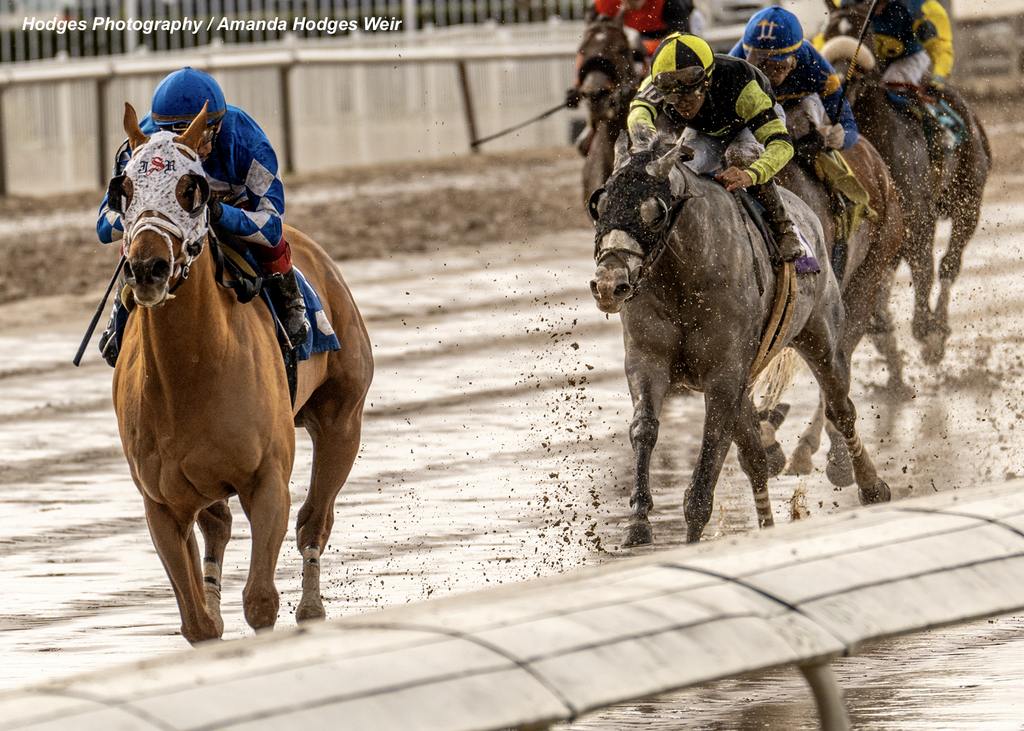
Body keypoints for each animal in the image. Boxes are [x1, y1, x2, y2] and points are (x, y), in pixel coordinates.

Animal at [111, 99, 372, 638]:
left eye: (191, 190)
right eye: (124, 188)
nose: (147, 268)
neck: (189, 375)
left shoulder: (266, 481)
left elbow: (260, 602)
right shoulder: (161, 506)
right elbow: (197, 624)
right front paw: (208, 614)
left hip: (342, 419)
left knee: (315, 519)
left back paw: (311, 607)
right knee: (218, 527)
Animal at [823, 17, 991, 366]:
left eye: (863, 31)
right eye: (829, 31)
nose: (837, 83)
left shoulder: (917, 215)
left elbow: (925, 267)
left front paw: (928, 331)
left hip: (968, 201)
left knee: (950, 264)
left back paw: (937, 328)